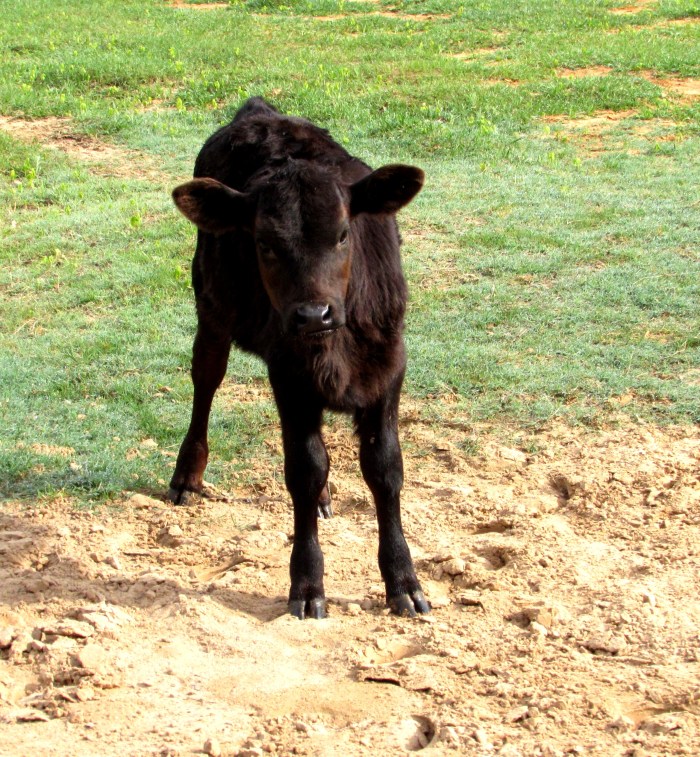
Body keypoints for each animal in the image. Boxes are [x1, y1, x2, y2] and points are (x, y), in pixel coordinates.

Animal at [167, 97, 429, 620]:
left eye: (344, 234)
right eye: (264, 242)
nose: (312, 314)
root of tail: (260, 111)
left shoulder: (389, 366)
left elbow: (385, 469)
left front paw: (402, 581)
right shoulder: (288, 374)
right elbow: (305, 469)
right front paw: (307, 584)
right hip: (210, 303)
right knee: (206, 379)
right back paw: (187, 475)